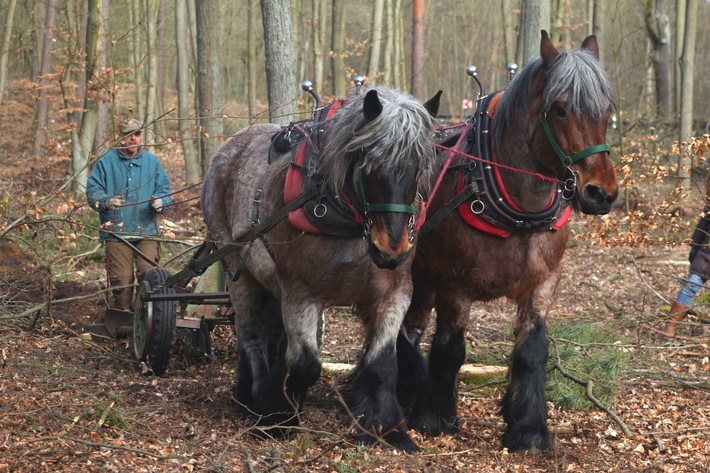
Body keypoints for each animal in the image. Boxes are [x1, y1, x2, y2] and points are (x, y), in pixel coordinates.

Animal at [202, 86, 440, 452]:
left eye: (418, 167)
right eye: (370, 165)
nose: (392, 250)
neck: (350, 223)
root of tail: (230, 148)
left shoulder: (395, 293)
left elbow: (383, 364)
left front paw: (388, 429)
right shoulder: (301, 293)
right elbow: (305, 364)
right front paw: (275, 415)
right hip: (235, 266)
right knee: (251, 332)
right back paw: (252, 397)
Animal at [398, 30, 620, 450]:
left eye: (607, 110)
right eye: (561, 109)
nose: (602, 193)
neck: (517, 207)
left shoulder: (545, 282)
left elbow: (532, 351)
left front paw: (527, 427)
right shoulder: (455, 285)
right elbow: (450, 349)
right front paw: (434, 417)